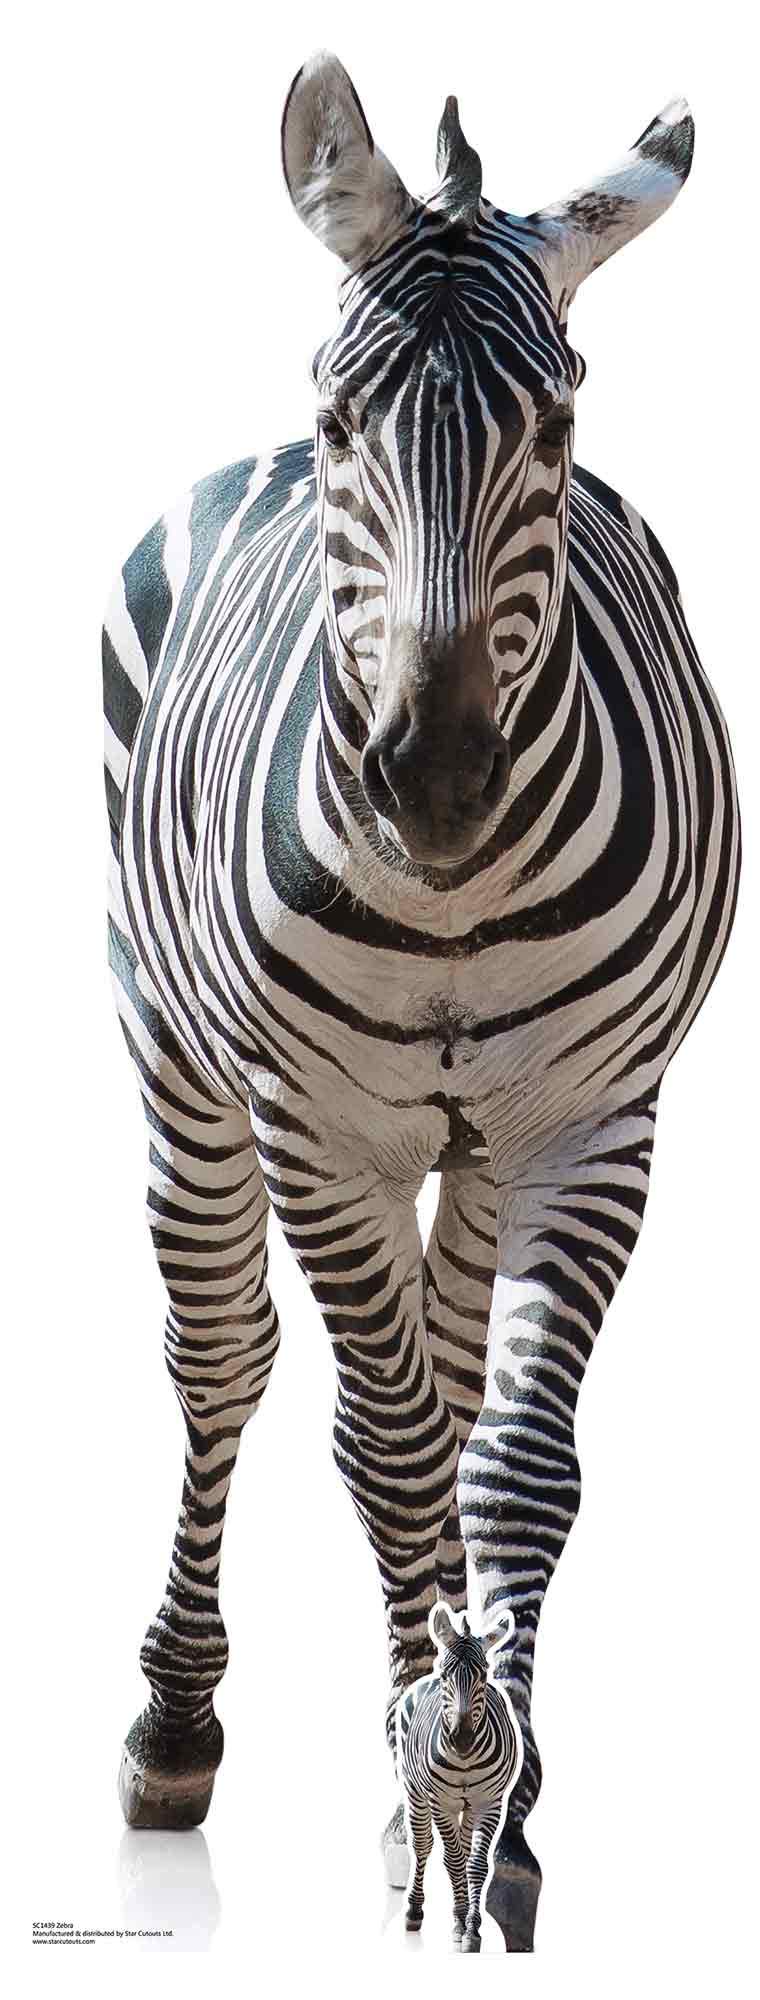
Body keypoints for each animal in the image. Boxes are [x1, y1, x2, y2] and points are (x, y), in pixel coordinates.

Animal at [397, 1602, 521, 1951]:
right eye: (445, 1674)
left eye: (484, 1674)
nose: (462, 1740)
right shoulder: (441, 1804)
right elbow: (452, 1861)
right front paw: (460, 1922)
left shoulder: (489, 1804)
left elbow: (476, 1864)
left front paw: (471, 1928)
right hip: (415, 1793)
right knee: (422, 1846)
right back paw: (414, 1911)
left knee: (463, 1851)